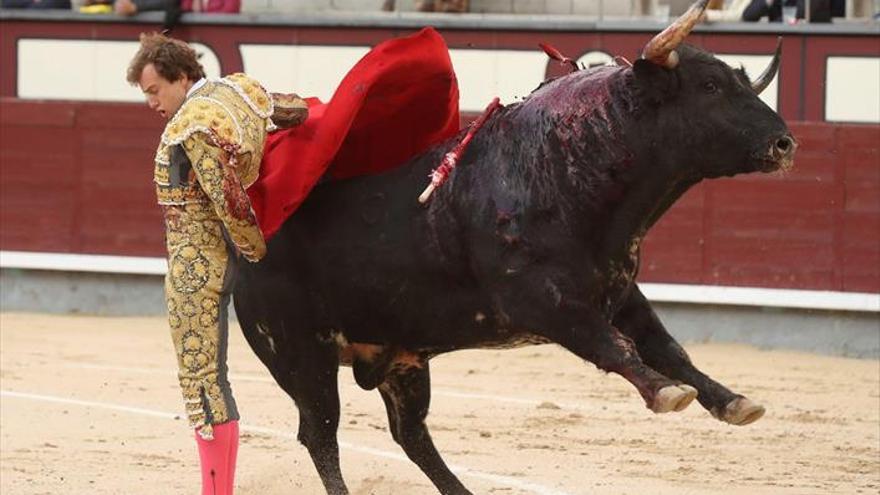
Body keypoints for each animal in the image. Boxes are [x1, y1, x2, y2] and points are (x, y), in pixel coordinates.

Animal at [232, 1, 796, 494]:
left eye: (741, 83)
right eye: (710, 86)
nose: (785, 143)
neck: (573, 167)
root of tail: (250, 246)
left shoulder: (619, 293)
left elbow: (668, 347)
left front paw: (732, 401)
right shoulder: (543, 302)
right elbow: (614, 345)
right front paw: (666, 393)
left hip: (401, 357)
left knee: (411, 434)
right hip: (300, 353)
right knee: (321, 432)